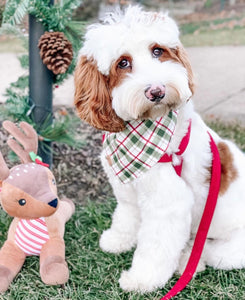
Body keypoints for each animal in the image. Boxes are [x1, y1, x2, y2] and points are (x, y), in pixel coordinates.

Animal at [73, 5, 245, 292]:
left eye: (157, 51)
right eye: (123, 63)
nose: (157, 91)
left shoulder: (168, 203)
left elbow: (155, 246)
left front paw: (141, 279)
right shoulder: (128, 190)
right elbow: (127, 216)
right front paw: (118, 240)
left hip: (229, 249)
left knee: (208, 251)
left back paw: (189, 261)